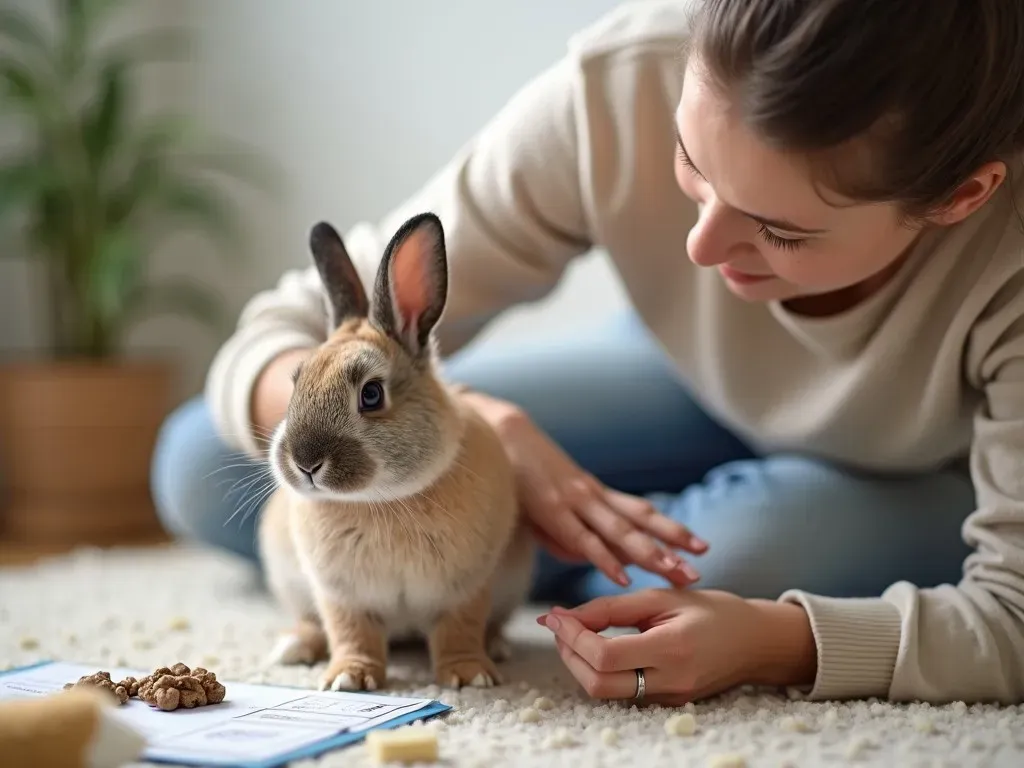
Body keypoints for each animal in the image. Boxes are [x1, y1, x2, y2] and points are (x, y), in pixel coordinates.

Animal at [256, 210, 536, 692]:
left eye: (371, 394)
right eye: (296, 383)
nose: (305, 463)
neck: (381, 500)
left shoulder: (465, 588)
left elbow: (459, 628)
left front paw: (469, 676)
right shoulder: (340, 595)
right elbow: (351, 633)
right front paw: (348, 678)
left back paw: (498, 647)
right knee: (312, 624)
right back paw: (293, 648)